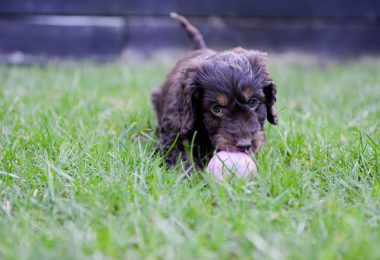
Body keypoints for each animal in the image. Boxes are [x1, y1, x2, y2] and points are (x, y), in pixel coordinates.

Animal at [151, 13, 280, 169]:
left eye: (253, 102)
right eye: (216, 108)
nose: (244, 145)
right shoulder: (173, 136)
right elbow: (181, 158)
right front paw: (198, 175)